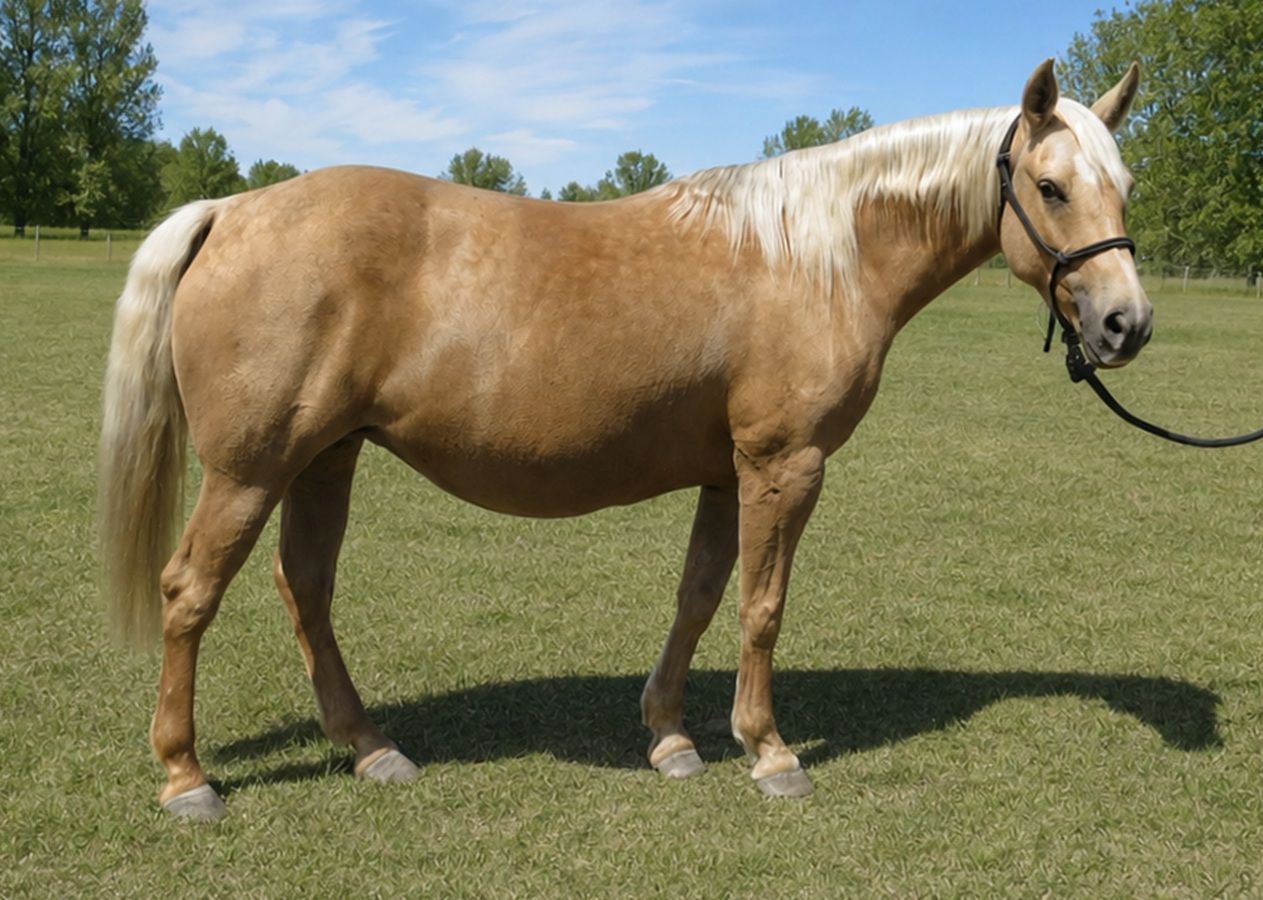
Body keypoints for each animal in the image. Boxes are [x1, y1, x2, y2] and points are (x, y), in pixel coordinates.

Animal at [99, 59, 1150, 820]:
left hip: (326, 455)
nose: (1125, 324)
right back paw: (186, 778)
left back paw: (372, 748)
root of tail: (230, 210)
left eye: (1124, 184)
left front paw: (671, 738)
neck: (818, 254)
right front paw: (770, 753)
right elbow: (760, 608)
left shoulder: (729, 475)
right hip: (251, 469)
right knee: (191, 592)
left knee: (305, 590)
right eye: (1050, 187)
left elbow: (699, 600)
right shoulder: (785, 466)